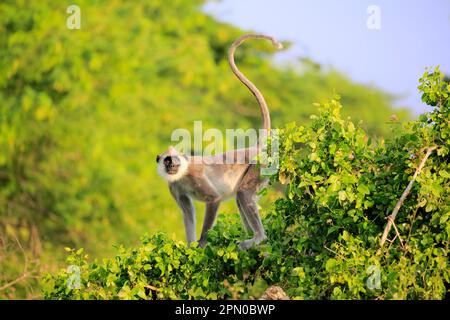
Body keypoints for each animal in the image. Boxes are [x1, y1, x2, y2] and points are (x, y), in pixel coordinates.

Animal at [157, 35, 282, 250]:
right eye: (167, 161)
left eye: (175, 161)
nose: (172, 166)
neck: (182, 174)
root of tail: (255, 148)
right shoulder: (174, 187)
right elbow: (187, 213)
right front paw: (189, 246)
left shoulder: (195, 177)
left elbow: (213, 199)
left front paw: (200, 245)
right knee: (242, 198)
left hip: (258, 168)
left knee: (243, 193)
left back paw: (258, 237)